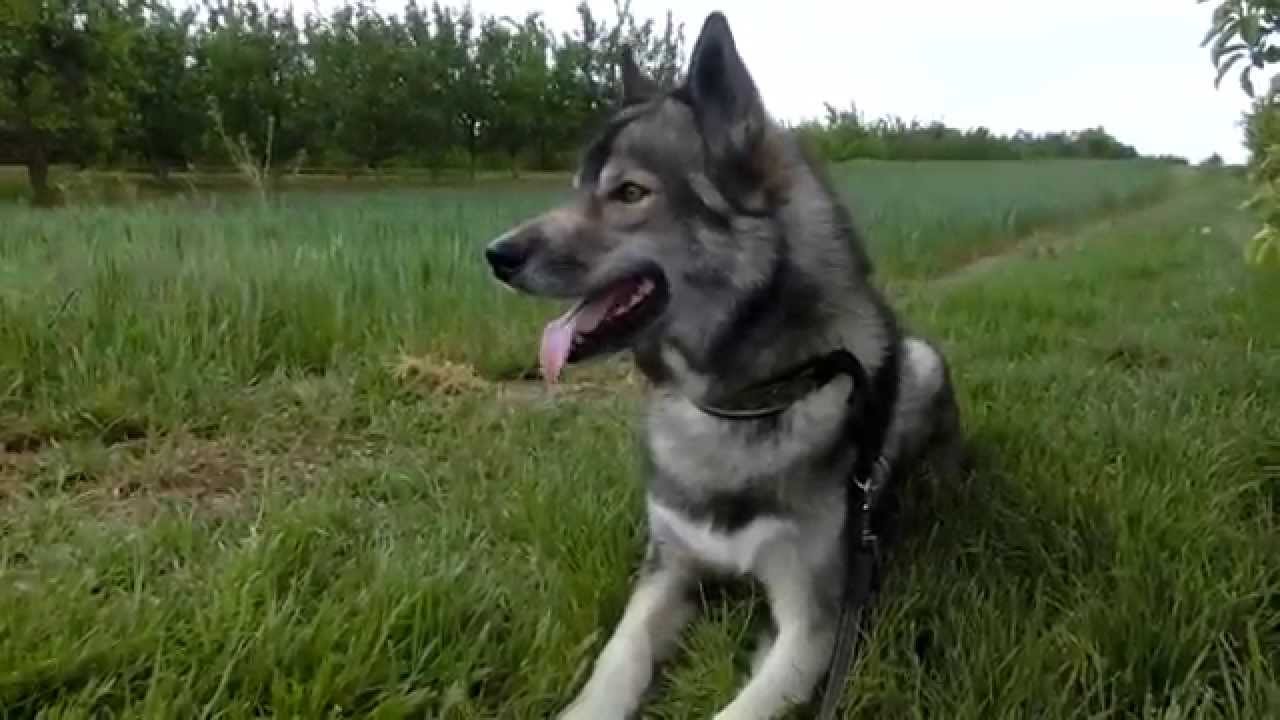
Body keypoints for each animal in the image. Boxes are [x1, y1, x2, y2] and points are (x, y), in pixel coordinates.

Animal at [483, 11, 962, 717]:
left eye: (629, 192)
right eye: (575, 191)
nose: (496, 255)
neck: (737, 400)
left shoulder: (812, 622)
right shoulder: (668, 568)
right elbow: (617, 660)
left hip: (921, 365)